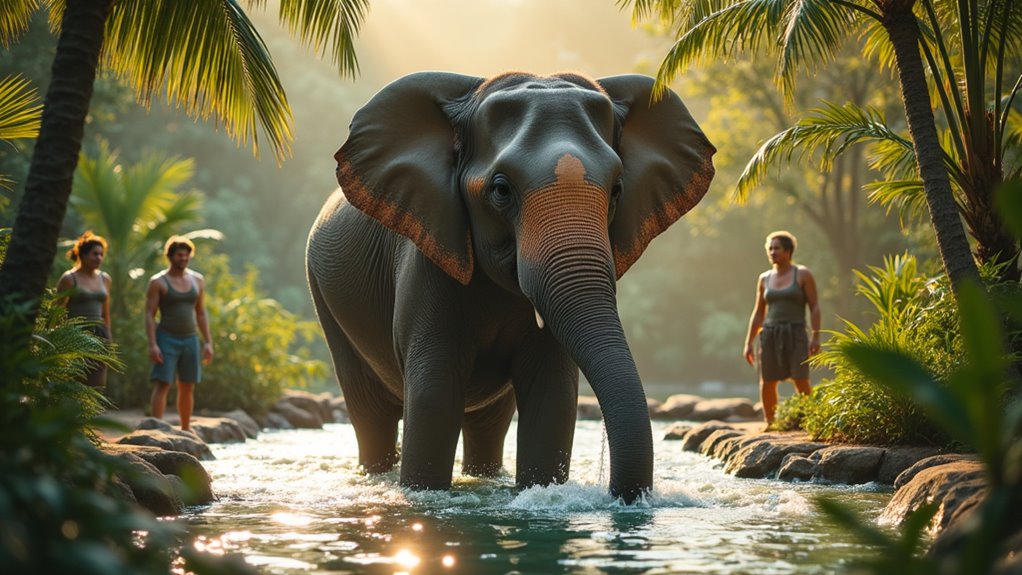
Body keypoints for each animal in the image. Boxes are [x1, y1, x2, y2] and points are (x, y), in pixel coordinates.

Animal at [306, 71, 715, 503]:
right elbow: (435, 394)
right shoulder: (425, 262)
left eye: (618, 189)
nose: (619, 495)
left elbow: (553, 397)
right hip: (325, 300)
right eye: (501, 190)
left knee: (489, 421)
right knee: (369, 411)